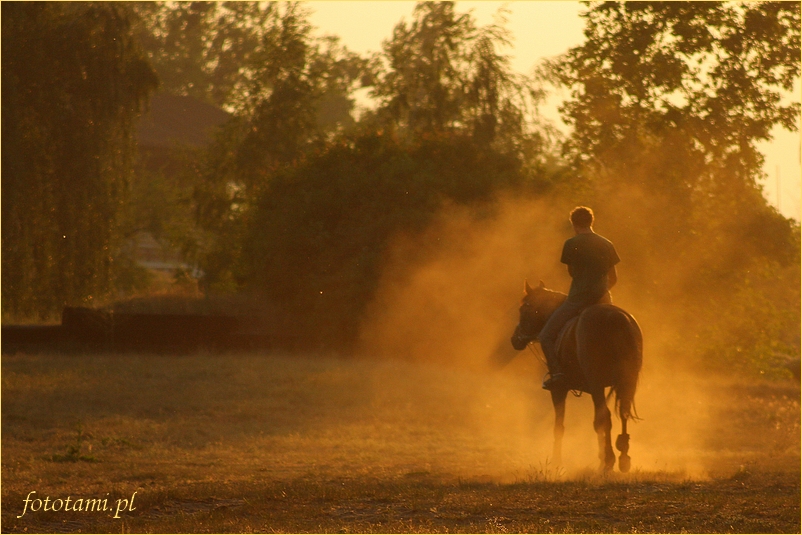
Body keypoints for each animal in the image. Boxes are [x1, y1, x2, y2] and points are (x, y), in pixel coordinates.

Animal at [510, 280, 640, 474]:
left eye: (523, 308)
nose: (515, 339)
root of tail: (618, 320)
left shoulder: (559, 389)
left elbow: (559, 426)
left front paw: (556, 462)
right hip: (626, 382)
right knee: (621, 413)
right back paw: (622, 458)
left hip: (596, 384)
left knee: (605, 417)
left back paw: (609, 460)